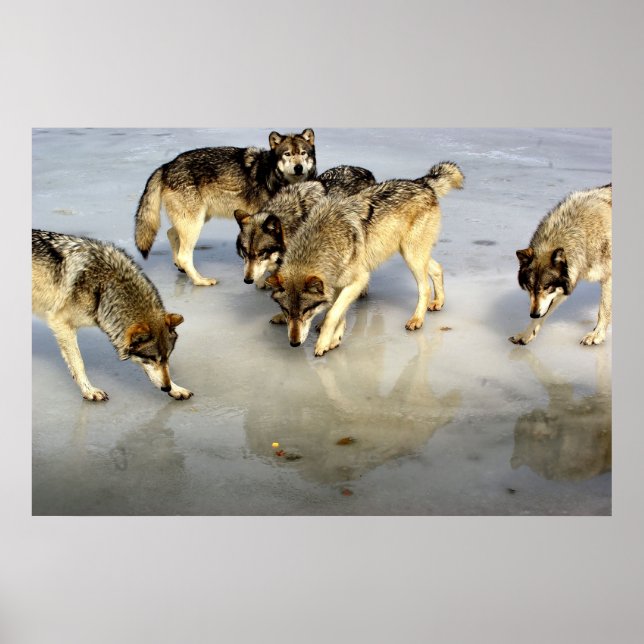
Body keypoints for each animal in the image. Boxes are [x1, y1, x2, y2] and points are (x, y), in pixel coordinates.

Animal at [32, 229, 193, 401]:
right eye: (151, 358)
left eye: (167, 357)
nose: (166, 387)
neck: (104, 287)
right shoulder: (61, 323)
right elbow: (78, 363)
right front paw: (89, 390)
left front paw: (176, 389)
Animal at [134, 129, 316, 286]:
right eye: (287, 154)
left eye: (303, 153)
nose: (298, 167)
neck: (273, 176)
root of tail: (166, 166)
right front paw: (259, 282)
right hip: (194, 224)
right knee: (184, 255)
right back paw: (201, 281)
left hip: (197, 219)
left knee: (171, 234)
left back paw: (179, 266)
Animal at [266, 162, 464, 356]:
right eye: (286, 311)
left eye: (306, 311)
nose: (294, 343)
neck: (326, 240)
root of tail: (422, 183)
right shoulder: (338, 285)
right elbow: (339, 313)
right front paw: (335, 340)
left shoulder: (359, 280)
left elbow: (332, 314)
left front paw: (322, 344)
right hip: (412, 253)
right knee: (437, 268)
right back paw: (438, 303)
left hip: (411, 256)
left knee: (425, 288)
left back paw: (417, 320)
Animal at [509, 184, 612, 346]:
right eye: (530, 287)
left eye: (546, 287)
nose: (533, 314)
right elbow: (544, 314)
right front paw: (525, 334)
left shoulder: (608, 277)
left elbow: (603, 309)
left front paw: (597, 335)